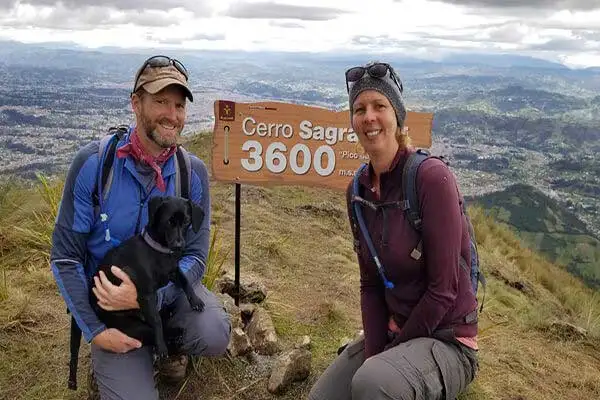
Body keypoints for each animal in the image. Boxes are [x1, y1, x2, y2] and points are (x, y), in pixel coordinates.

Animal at [68, 195, 206, 390]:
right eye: (168, 222)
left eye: (186, 221)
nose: (180, 245)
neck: (158, 252)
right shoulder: (146, 295)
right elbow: (156, 320)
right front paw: (161, 347)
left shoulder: (174, 272)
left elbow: (186, 281)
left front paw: (195, 300)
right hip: (135, 327)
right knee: (155, 330)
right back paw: (171, 335)